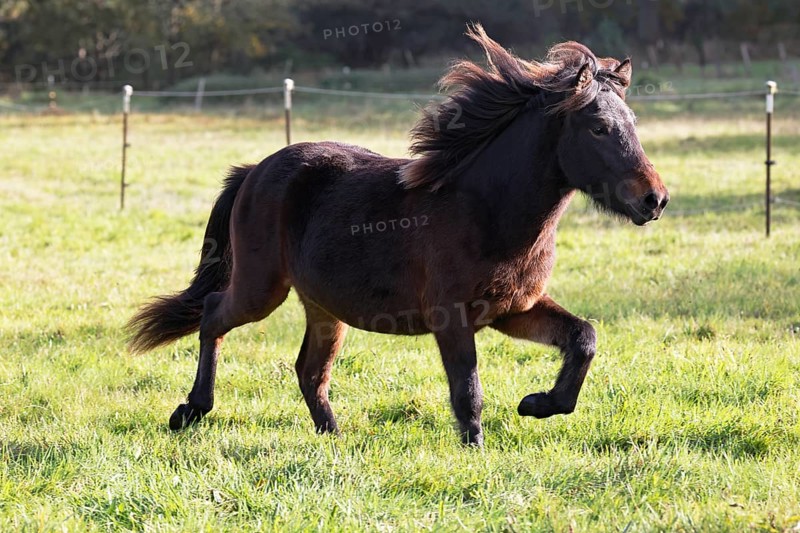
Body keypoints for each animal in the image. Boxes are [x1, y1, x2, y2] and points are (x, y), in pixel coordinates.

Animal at [128, 24, 668, 446]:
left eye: (632, 122)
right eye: (598, 128)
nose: (655, 199)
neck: (487, 209)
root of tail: (253, 172)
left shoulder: (514, 309)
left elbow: (583, 338)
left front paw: (537, 404)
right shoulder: (452, 317)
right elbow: (468, 392)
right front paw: (477, 451)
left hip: (322, 304)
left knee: (309, 369)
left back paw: (335, 439)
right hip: (261, 288)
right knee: (214, 316)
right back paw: (191, 411)